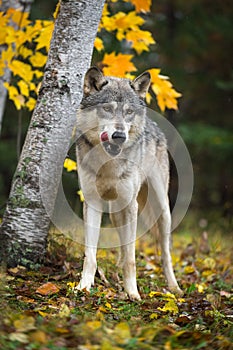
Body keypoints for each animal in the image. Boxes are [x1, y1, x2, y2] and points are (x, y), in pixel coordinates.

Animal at [75, 67, 183, 300]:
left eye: (129, 112)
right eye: (107, 109)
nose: (119, 136)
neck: (108, 164)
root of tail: (154, 124)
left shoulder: (131, 205)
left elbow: (133, 260)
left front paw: (132, 293)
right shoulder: (92, 203)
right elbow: (91, 255)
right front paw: (83, 287)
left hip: (162, 211)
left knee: (165, 253)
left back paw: (174, 287)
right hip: (116, 213)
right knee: (124, 247)